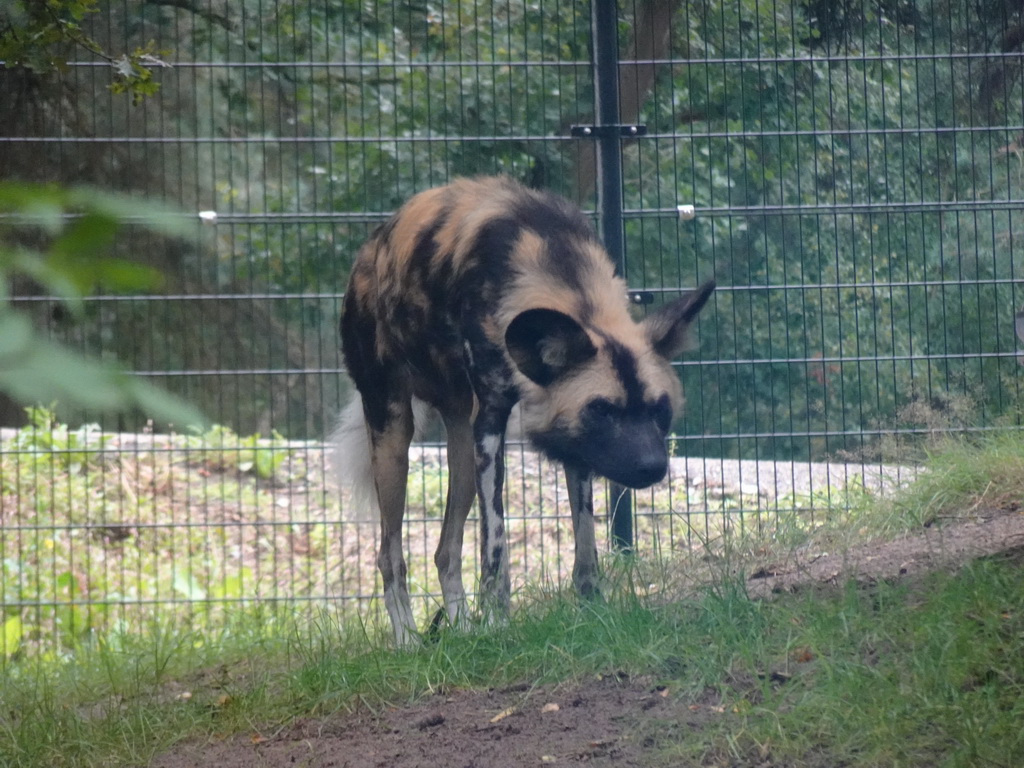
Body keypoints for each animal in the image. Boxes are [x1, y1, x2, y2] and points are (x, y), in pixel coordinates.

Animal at [335, 176, 712, 643]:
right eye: (604, 410)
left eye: (659, 410)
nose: (652, 467)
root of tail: (371, 249)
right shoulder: (491, 425)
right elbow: (495, 544)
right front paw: (497, 623)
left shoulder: (577, 447)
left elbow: (585, 542)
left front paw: (594, 612)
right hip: (393, 440)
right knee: (390, 555)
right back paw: (408, 640)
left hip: (461, 449)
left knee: (446, 551)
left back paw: (462, 631)